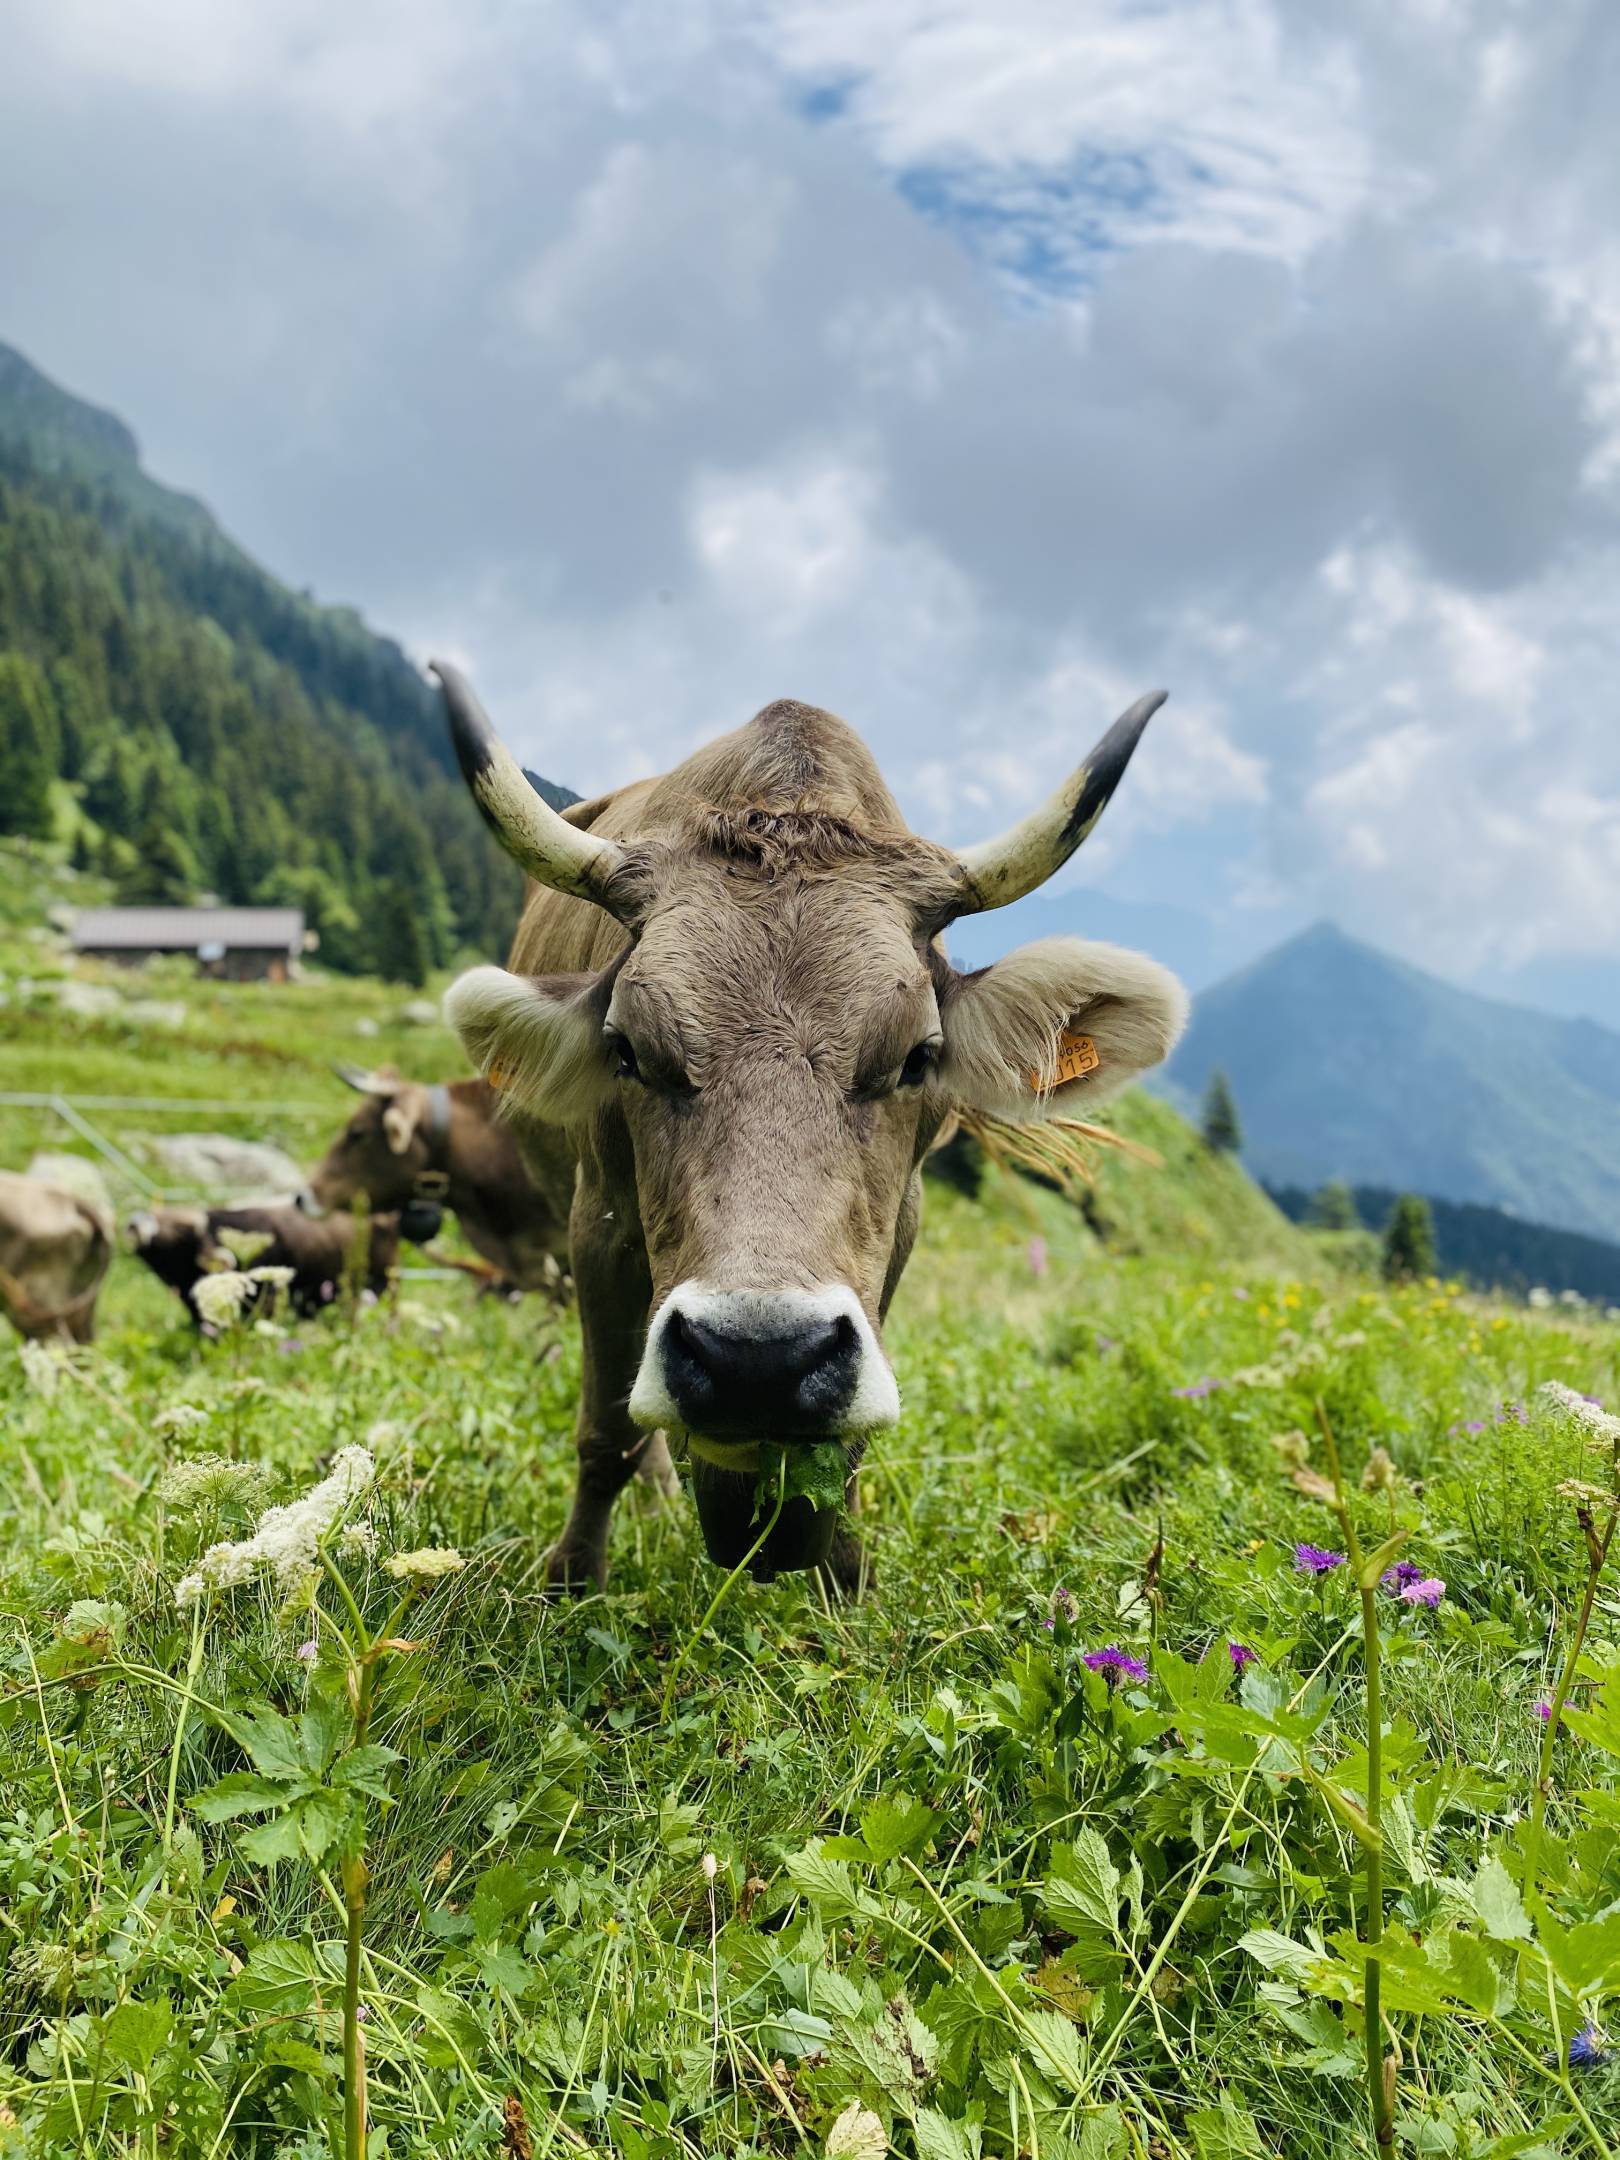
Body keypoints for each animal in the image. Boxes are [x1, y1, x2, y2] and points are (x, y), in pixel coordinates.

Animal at [438, 665, 1183, 1598]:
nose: (755, 1359)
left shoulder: (899, 1228)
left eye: (918, 1055)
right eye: (627, 1049)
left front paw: (845, 1579)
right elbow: (606, 1431)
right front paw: (574, 1581)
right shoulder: (597, 1222)